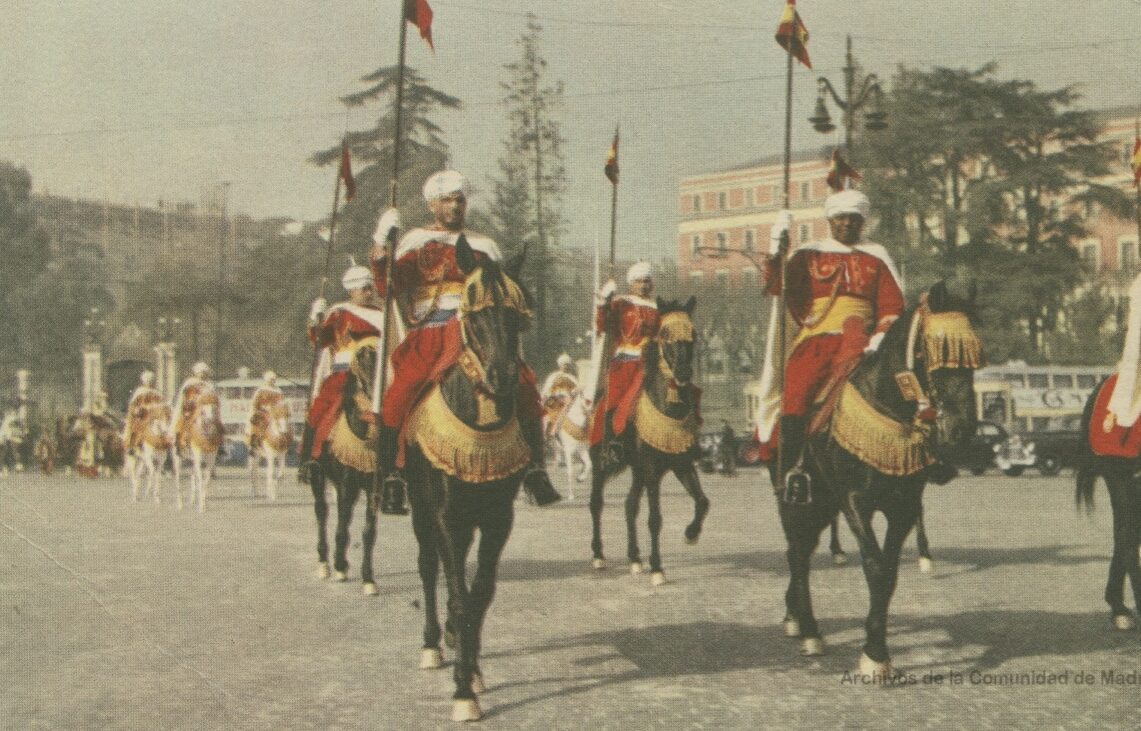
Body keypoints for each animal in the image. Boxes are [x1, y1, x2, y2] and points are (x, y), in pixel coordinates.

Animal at [308, 339, 383, 597]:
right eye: (361, 360)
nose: (374, 394)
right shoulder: (346, 486)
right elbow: (341, 525)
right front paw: (340, 566)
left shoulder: (373, 489)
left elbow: (368, 532)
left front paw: (368, 579)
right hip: (318, 477)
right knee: (322, 512)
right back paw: (324, 563)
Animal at [397, 238, 543, 720]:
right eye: (475, 315)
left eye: (517, 316)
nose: (503, 378)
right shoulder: (444, 514)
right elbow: (459, 595)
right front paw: (462, 691)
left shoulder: (497, 518)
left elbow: (480, 593)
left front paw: (473, 671)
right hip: (423, 511)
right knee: (429, 568)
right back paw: (432, 644)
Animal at [588, 296, 711, 588]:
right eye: (665, 334)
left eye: (693, 334)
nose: (683, 373)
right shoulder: (652, 469)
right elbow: (655, 518)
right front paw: (658, 568)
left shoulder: (681, 464)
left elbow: (702, 501)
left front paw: (691, 534)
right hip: (601, 463)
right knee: (596, 503)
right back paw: (598, 555)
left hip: (638, 470)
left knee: (630, 504)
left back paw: (634, 558)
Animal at [775, 275, 981, 675]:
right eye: (935, 351)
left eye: (974, 358)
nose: (962, 429)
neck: (888, 406)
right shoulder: (855, 502)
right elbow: (875, 567)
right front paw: (874, 655)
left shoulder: (903, 506)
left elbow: (890, 572)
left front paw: (877, 648)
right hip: (799, 501)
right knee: (798, 555)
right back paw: (809, 630)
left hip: (824, 506)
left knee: (801, 552)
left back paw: (796, 618)